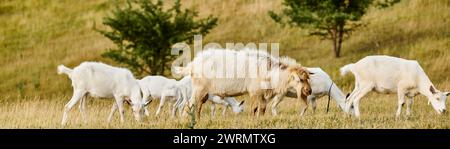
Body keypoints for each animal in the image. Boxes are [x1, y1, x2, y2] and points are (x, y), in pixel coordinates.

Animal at [174, 48, 312, 119]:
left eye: (307, 78)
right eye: (300, 79)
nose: (309, 91)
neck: (271, 72)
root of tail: (193, 64)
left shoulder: (261, 94)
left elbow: (261, 108)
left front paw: (260, 119)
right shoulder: (255, 91)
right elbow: (255, 108)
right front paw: (253, 120)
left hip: (203, 92)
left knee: (197, 105)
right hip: (199, 88)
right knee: (191, 104)